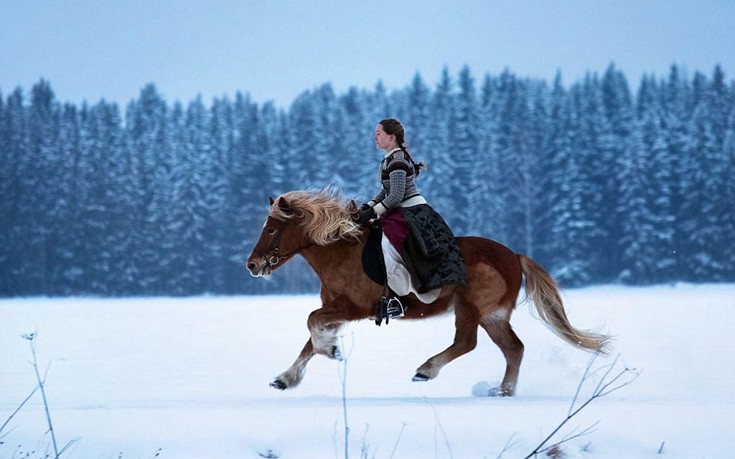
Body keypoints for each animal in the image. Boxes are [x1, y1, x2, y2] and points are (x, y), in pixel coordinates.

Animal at [247, 189, 608, 398]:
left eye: (271, 229)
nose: (252, 265)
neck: (340, 251)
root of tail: (514, 256)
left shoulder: (354, 307)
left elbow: (311, 323)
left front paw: (330, 350)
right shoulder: (336, 308)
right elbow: (310, 336)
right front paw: (287, 377)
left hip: (470, 307)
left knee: (467, 342)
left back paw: (426, 370)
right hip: (493, 315)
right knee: (514, 349)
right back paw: (503, 392)